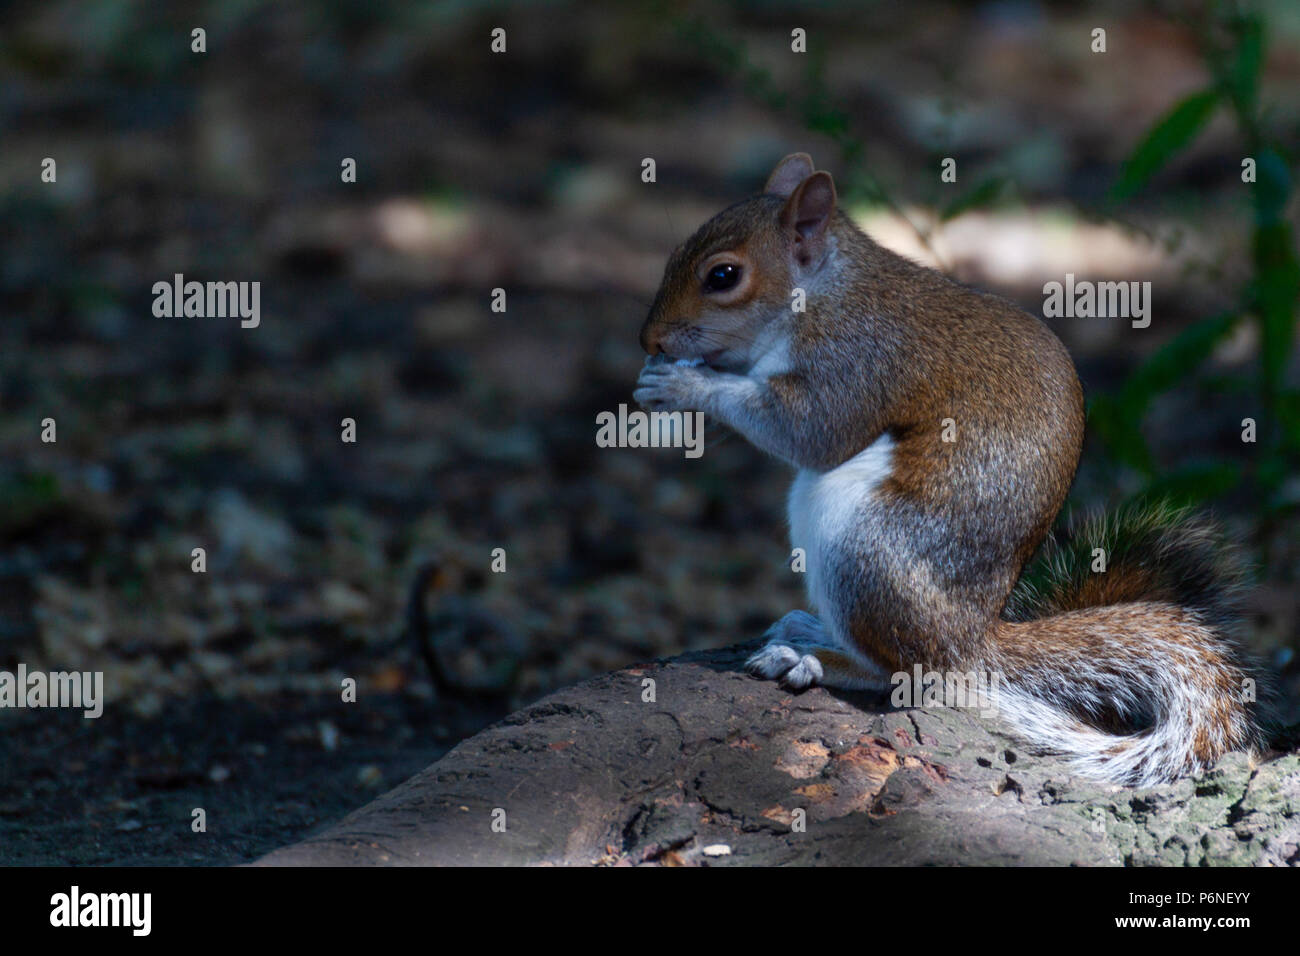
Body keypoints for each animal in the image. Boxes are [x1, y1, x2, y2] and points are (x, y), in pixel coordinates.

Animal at [634, 153, 1263, 790]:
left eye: (723, 276)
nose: (649, 339)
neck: (824, 290)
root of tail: (972, 640)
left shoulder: (857, 360)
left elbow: (811, 430)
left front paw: (689, 385)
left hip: (863, 547)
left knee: (913, 673)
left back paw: (813, 658)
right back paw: (812, 631)